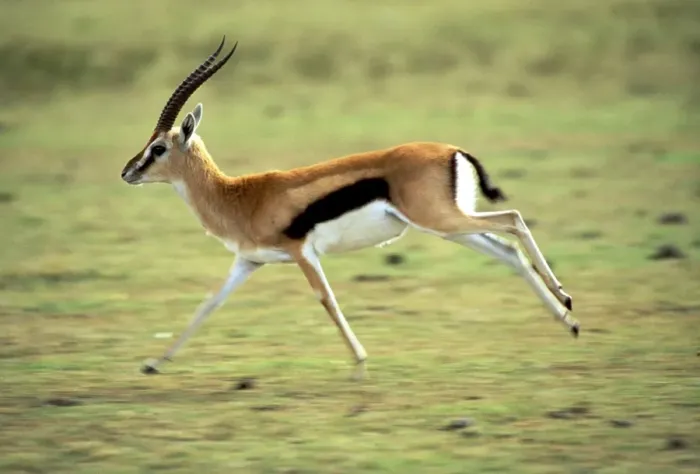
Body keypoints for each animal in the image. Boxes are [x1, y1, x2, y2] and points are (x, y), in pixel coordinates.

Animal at [120, 36, 579, 380]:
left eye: (158, 148)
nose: (126, 171)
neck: (239, 196)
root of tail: (453, 149)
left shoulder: (302, 252)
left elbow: (327, 299)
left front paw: (359, 364)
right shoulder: (249, 261)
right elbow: (210, 302)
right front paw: (154, 363)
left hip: (443, 220)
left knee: (513, 220)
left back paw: (567, 300)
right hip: (450, 227)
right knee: (508, 251)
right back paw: (568, 322)